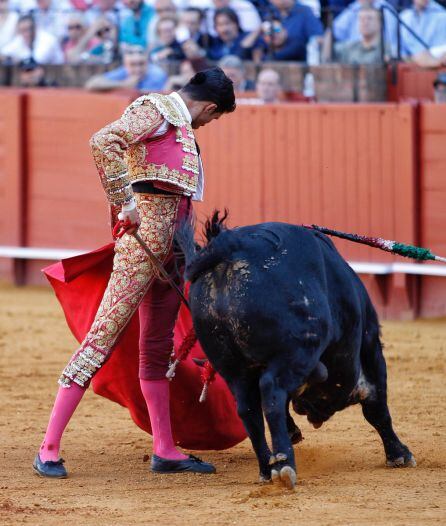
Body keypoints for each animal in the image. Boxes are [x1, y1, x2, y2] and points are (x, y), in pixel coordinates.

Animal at [175, 214, 414, 490]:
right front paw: (399, 454)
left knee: (248, 408)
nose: (309, 414)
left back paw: (267, 468)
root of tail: (231, 248)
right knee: (272, 394)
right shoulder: (370, 344)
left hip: (232, 368)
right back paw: (284, 465)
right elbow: (376, 406)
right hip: (296, 353)